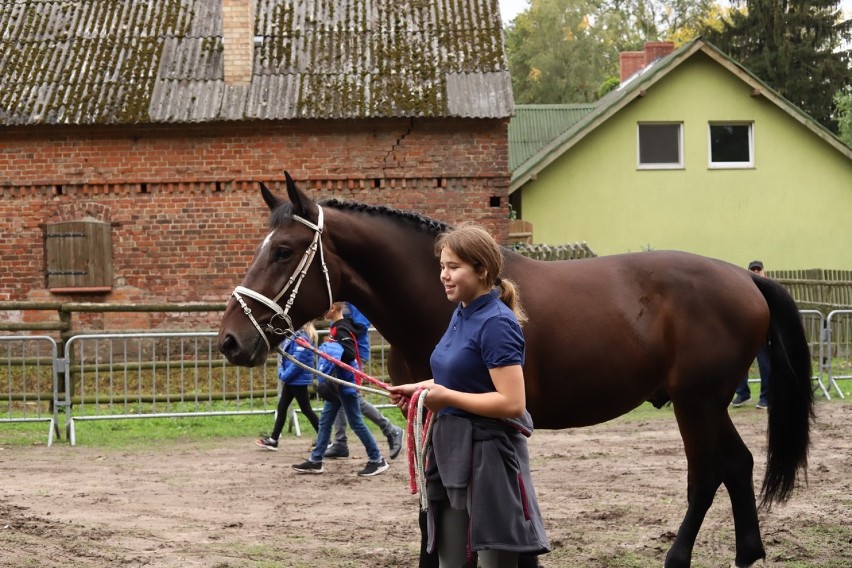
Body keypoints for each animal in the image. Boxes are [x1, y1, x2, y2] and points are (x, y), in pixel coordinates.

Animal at [218, 174, 812, 568]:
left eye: (284, 250)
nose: (230, 340)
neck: (442, 303)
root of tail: (746, 278)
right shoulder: (426, 409)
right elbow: (429, 513)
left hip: (698, 402)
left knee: (710, 473)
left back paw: (680, 557)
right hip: (706, 403)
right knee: (737, 465)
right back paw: (747, 554)